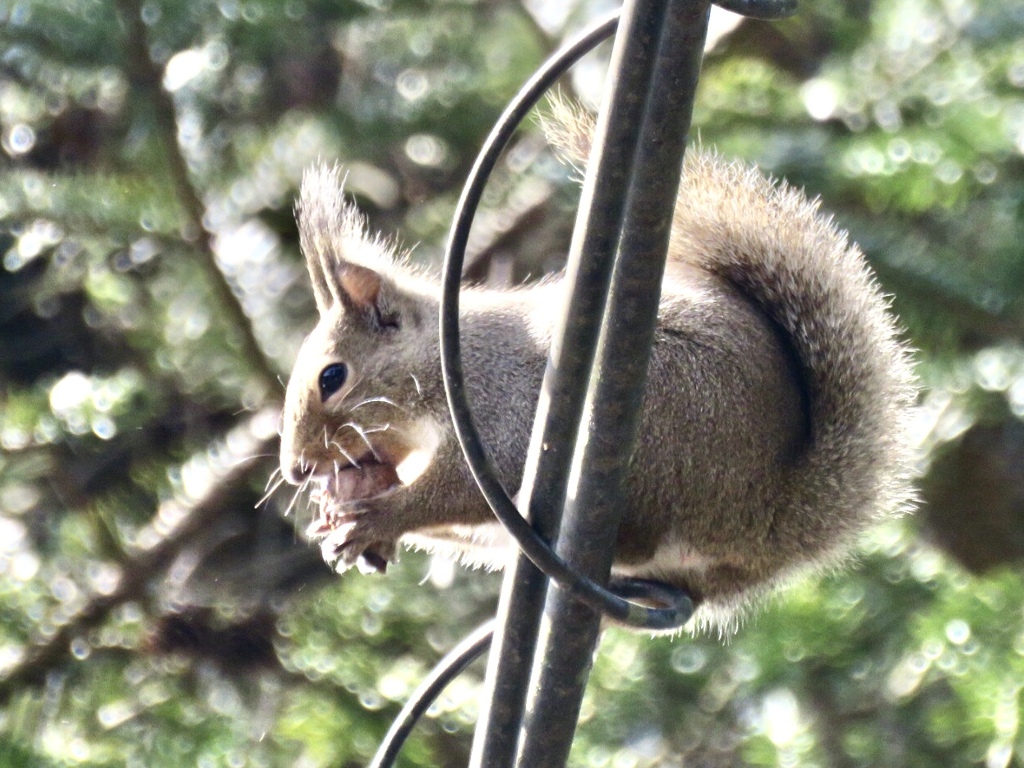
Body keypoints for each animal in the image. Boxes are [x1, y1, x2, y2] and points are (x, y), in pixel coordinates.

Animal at [276, 103, 917, 630]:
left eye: (332, 377)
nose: (296, 472)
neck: (442, 369)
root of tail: (769, 520)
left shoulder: (500, 406)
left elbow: (464, 492)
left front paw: (378, 517)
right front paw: (340, 523)